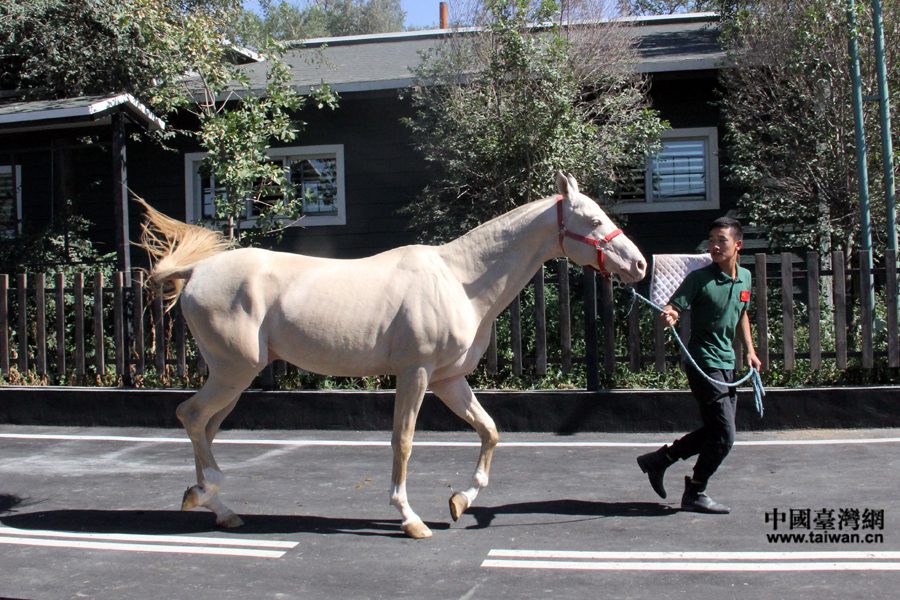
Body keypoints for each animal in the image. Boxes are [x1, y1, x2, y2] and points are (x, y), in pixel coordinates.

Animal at [139, 170, 648, 540]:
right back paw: (208, 492)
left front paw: (460, 501)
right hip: (233, 372)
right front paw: (410, 518)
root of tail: (198, 271)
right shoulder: (415, 373)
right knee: (191, 416)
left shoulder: (448, 380)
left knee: (205, 426)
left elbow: (490, 431)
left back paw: (216, 506)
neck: (461, 281)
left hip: (233, 377)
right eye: (594, 220)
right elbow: (402, 441)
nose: (640, 265)